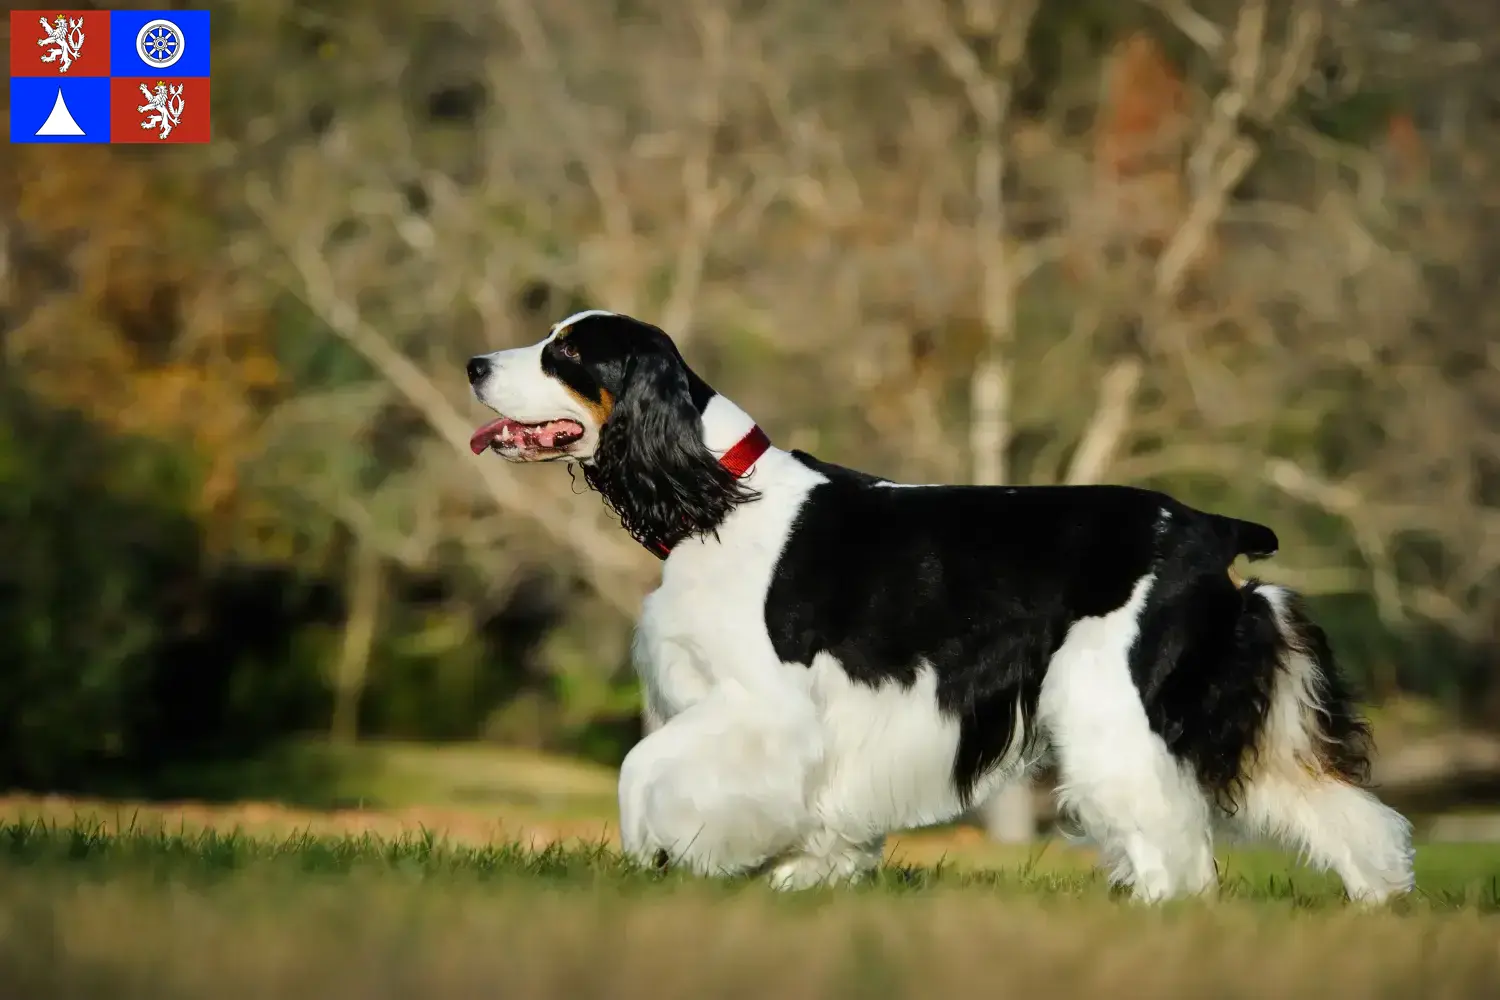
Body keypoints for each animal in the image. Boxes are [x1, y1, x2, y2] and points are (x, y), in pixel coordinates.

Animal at [468, 310, 1416, 899]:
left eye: (567, 353)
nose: (475, 364)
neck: (715, 495)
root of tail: (1210, 529)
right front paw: (806, 876)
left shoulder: (761, 707)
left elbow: (640, 771)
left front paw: (671, 859)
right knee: (1328, 801)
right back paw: (1378, 898)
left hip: (1110, 701)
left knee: (1167, 831)